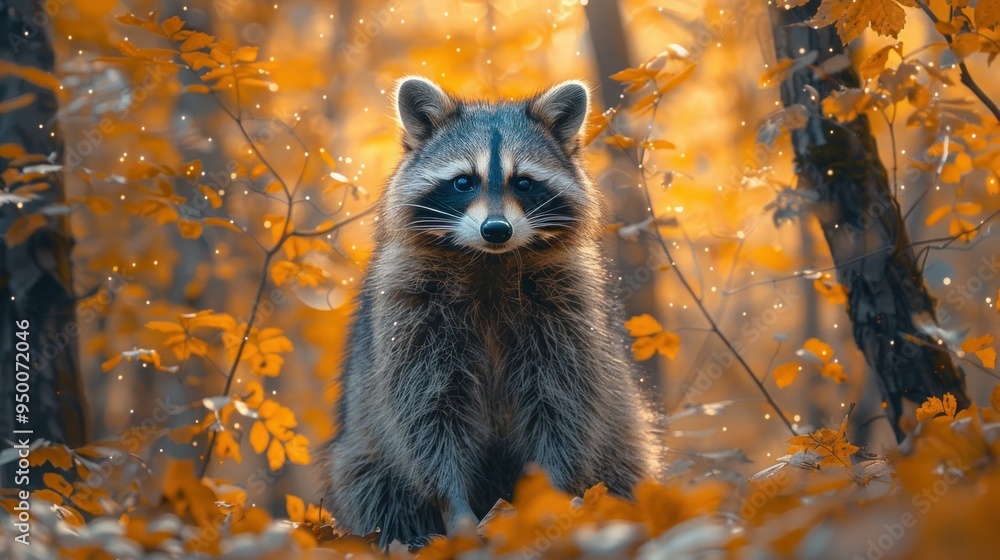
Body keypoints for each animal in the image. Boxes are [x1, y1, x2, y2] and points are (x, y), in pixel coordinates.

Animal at [321, 77, 658, 546]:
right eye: (463, 182)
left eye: (524, 183)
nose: (496, 230)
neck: (489, 262)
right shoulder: (409, 310)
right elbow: (427, 414)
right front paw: (455, 509)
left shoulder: (567, 308)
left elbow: (563, 403)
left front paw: (551, 501)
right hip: (360, 442)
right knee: (368, 478)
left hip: (622, 424)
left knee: (624, 457)